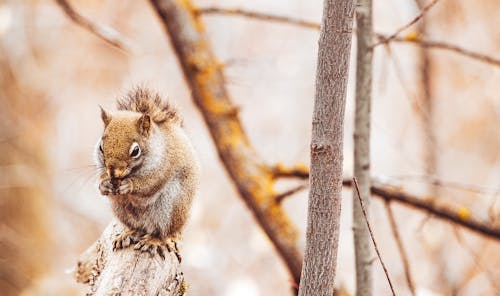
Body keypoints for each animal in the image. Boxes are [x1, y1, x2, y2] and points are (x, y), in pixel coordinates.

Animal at [95, 86, 199, 260]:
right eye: (101, 147)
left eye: (135, 151)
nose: (113, 172)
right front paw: (104, 185)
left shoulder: (163, 166)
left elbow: (149, 184)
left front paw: (129, 185)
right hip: (121, 211)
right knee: (137, 228)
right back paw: (129, 233)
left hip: (170, 208)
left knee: (162, 232)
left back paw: (153, 240)